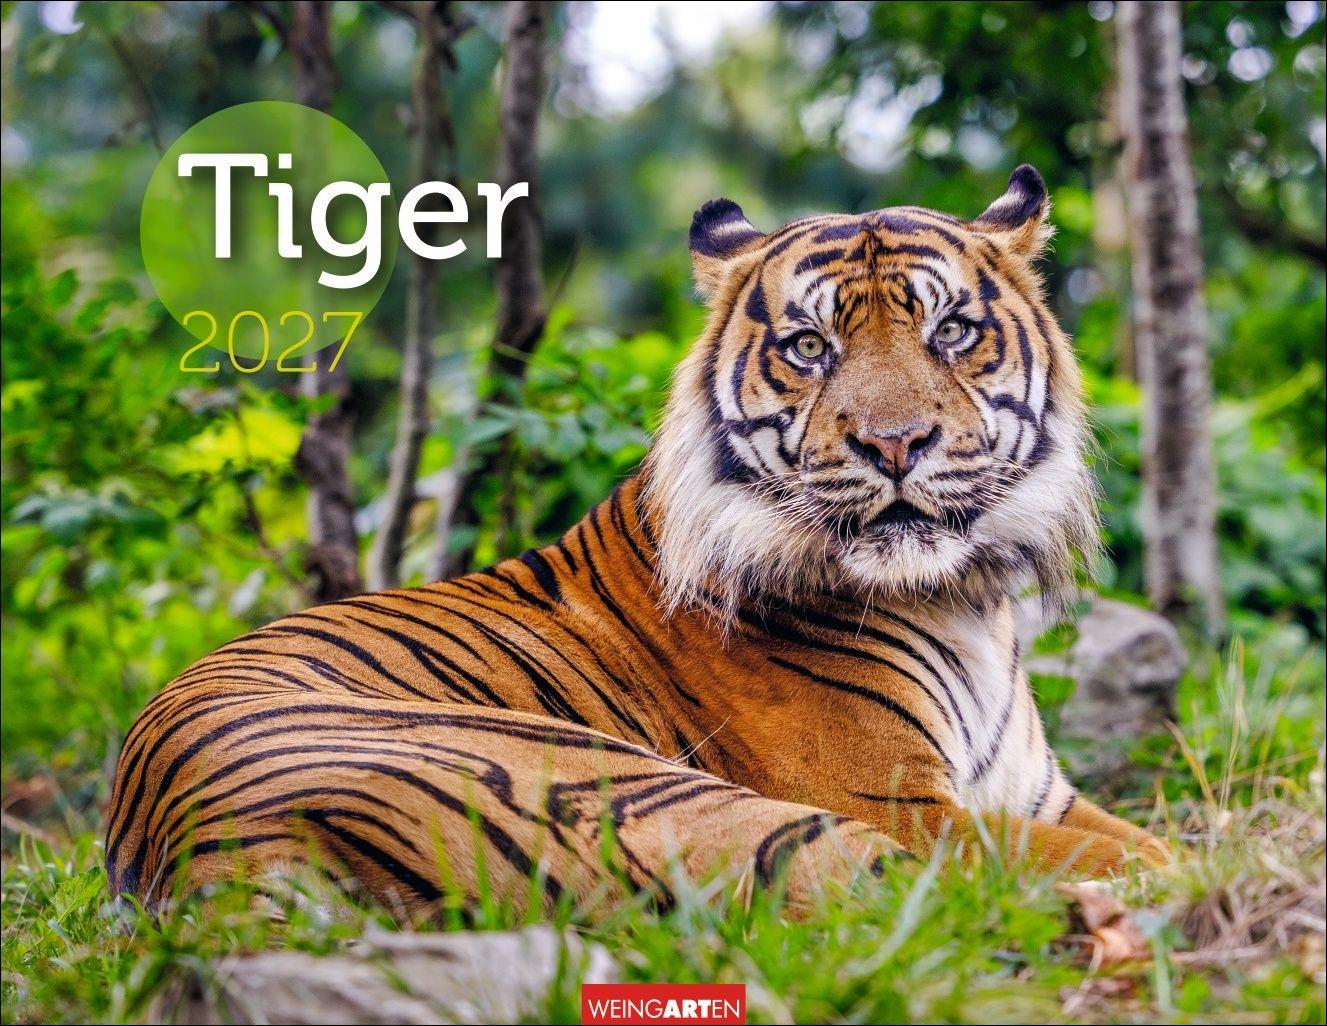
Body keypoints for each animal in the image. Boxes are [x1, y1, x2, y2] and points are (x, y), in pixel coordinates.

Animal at [105, 165, 1170, 921]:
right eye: (809, 347)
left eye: (950, 332)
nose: (894, 443)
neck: (962, 598)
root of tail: (204, 852)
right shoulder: (903, 803)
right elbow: (1148, 849)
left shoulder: (1039, 796)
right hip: (646, 792)